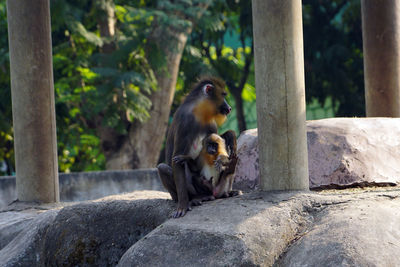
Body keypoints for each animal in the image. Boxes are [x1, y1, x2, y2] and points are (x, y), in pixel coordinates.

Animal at [157, 77, 231, 218]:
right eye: (223, 95)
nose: (229, 107)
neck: (199, 112)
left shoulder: (211, 125)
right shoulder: (185, 121)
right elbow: (177, 159)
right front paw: (182, 206)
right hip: (183, 191)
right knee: (162, 167)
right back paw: (195, 199)